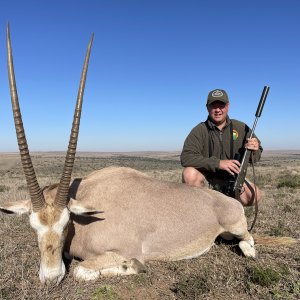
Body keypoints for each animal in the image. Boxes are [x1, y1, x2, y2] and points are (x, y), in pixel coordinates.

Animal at [0, 25, 255, 284]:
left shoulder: (124, 250)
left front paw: (130, 267)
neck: (88, 210)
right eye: (33, 227)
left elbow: (82, 271)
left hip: (236, 227)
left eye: (65, 224)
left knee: (248, 241)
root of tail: (229, 200)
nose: (51, 277)